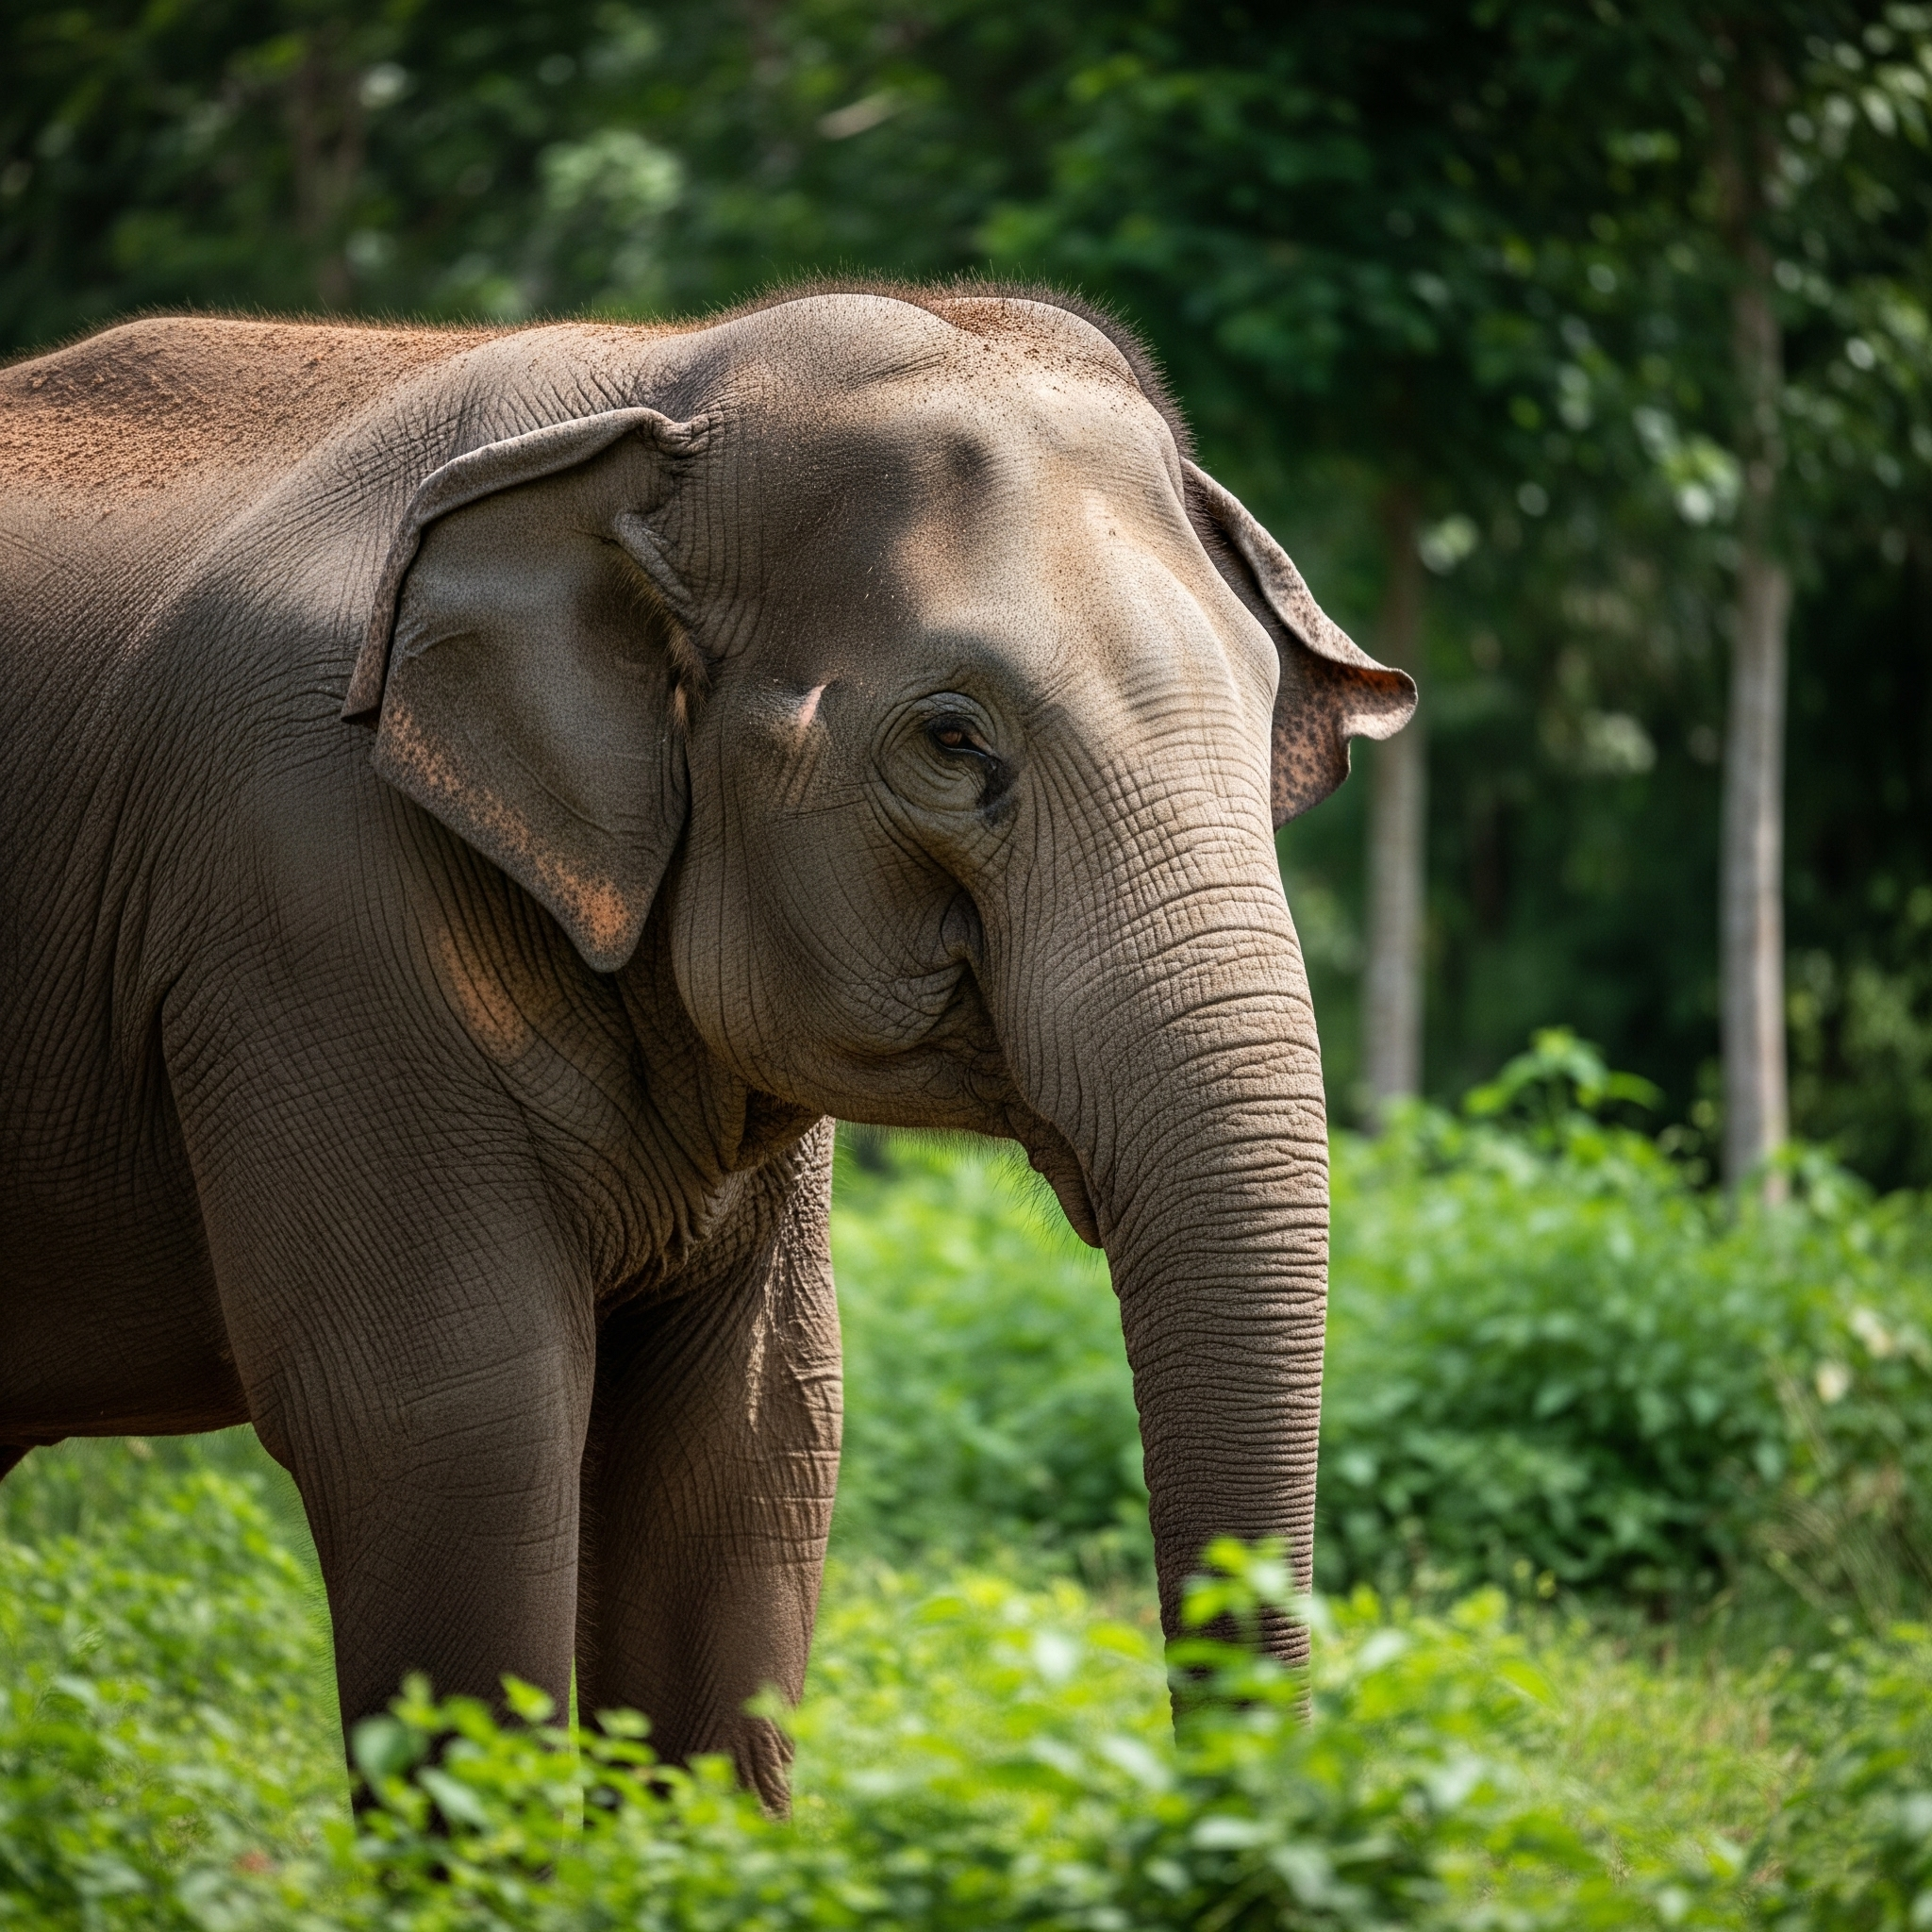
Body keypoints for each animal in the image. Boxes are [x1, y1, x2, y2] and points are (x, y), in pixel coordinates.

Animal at [0, 283, 1414, 1807]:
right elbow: (445, 1421)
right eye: (952, 741)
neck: (661, 378)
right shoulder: (304, 904)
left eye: (1264, 717)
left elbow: (742, 1441)